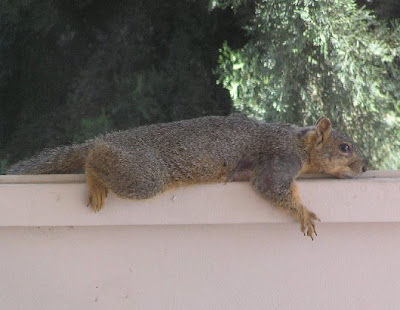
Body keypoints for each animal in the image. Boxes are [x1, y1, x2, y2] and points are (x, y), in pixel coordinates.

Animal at [9, 115, 368, 239]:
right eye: (345, 147)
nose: (365, 167)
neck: (298, 142)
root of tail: (113, 139)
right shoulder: (279, 159)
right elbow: (272, 187)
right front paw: (303, 213)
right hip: (144, 175)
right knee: (94, 157)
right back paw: (95, 172)